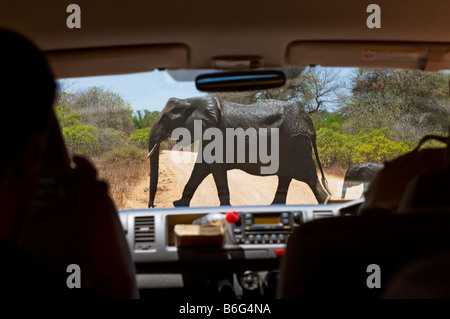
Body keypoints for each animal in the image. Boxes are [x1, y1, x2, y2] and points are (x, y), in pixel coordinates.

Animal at [148, 96, 330, 209]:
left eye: (166, 119)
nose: (151, 206)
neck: (191, 101)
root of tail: (308, 120)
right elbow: (200, 168)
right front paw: (178, 204)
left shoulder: (217, 135)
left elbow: (214, 168)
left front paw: (225, 208)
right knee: (286, 177)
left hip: (296, 142)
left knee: (309, 177)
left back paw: (325, 202)